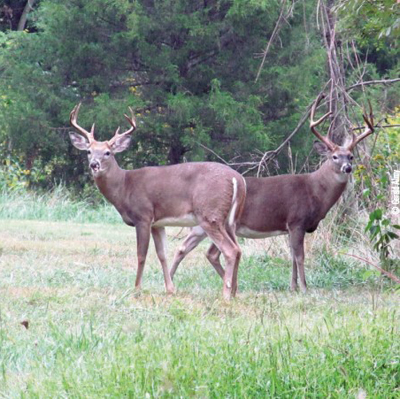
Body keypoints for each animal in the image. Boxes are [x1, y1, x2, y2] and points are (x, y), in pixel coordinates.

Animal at [67, 103, 245, 300]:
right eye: (88, 151)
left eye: (108, 152)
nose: (94, 165)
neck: (124, 187)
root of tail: (238, 179)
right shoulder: (157, 223)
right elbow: (162, 254)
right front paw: (170, 288)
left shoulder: (143, 216)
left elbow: (141, 255)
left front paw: (136, 288)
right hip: (228, 220)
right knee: (238, 249)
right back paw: (234, 291)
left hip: (210, 214)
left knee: (230, 250)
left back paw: (226, 294)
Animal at [170, 94, 376, 294]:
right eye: (334, 156)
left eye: (351, 156)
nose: (347, 168)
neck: (314, 191)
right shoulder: (297, 220)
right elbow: (300, 256)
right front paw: (304, 287)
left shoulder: (290, 227)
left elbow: (292, 257)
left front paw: (292, 287)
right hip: (220, 221)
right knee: (211, 252)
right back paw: (231, 285)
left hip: (202, 223)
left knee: (184, 248)